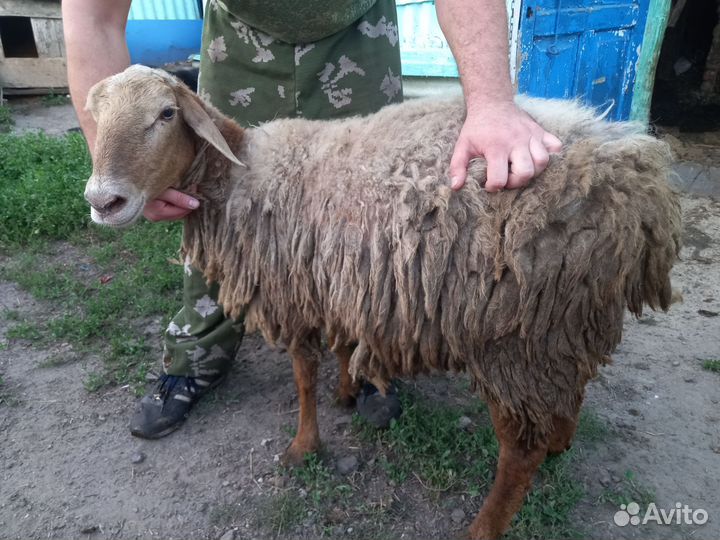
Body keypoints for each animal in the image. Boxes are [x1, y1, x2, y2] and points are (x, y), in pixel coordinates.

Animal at [83, 65, 681, 540]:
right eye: (95, 115)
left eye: (166, 114)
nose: (101, 200)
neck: (241, 173)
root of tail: (638, 183)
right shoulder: (343, 281)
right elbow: (343, 345)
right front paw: (350, 391)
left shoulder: (295, 291)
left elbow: (303, 375)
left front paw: (304, 446)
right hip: (564, 323)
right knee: (570, 394)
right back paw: (561, 442)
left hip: (515, 336)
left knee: (519, 451)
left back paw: (483, 527)